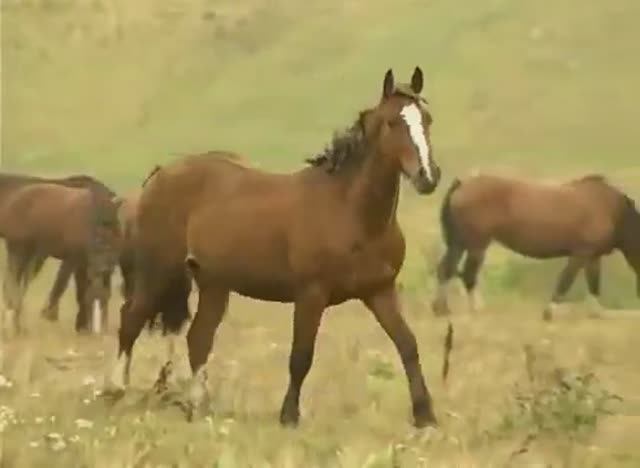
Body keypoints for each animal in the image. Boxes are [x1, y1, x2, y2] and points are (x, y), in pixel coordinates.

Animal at [0, 183, 122, 336]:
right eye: (96, 233)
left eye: (114, 231)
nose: (103, 267)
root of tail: (14, 200)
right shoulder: (74, 260)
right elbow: (72, 288)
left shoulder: (92, 266)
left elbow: (98, 293)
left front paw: (90, 329)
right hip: (19, 251)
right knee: (12, 283)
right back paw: (14, 325)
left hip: (33, 256)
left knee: (19, 284)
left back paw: (19, 326)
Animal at [106, 67, 444, 430]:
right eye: (393, 123)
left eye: (427, 118)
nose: (428, 177)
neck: (351, 212)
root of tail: (159, 176)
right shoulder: (311, 295)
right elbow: (301, 356)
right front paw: (289, 416)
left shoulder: (379, 291)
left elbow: (407, 345)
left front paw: (425, 415)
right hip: (159, 272)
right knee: (131, 319)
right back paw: (114, 389)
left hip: (214, 284)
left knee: (198, 338)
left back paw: (198, 404)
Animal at [430, 174, 640, 320]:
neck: (611, 209)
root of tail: (462, 185)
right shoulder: (581, 254)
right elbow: (565, 281)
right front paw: (549, 312)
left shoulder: (593, 257)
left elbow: (594, 286)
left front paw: (597, 313)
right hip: (476, 245)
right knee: (467, 274)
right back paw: (477, 308)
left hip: (459, 243)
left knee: (446, 269)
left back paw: (442, 309)